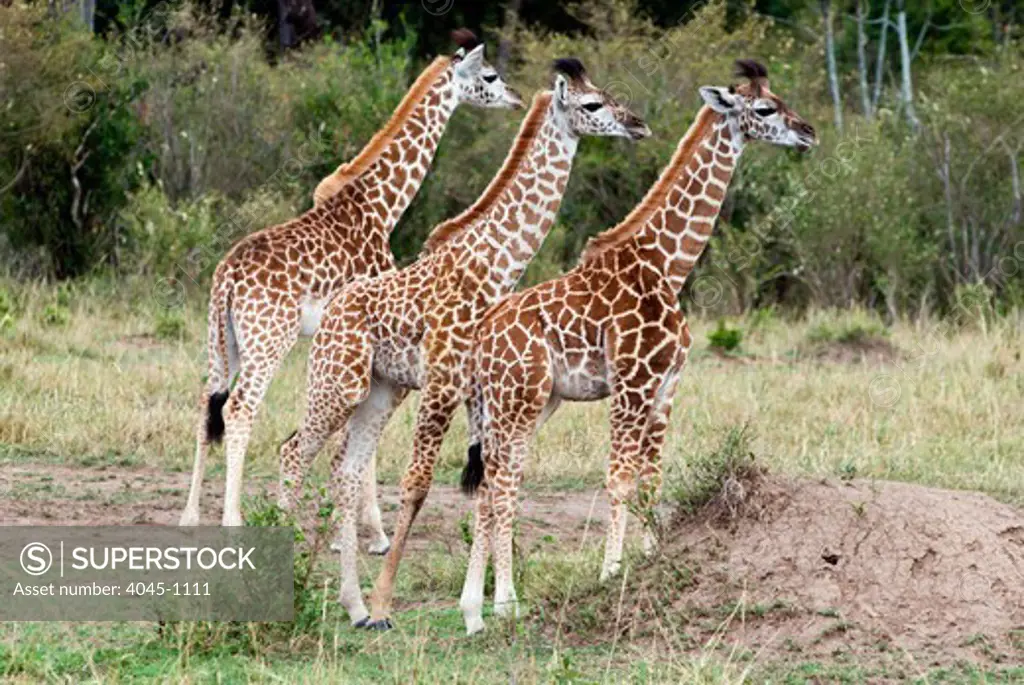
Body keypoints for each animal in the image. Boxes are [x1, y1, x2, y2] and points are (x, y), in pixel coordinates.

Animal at [176, 29, 524, 532]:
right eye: (490, 76)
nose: (517, 97)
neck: (381, 206)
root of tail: (229, 277)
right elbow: (362, 442)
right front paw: (374, 529)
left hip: (222, 338)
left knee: (208, 403)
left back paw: (188, 517)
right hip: (269, 340)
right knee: (240, 409)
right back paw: (234, 519)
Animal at [276, 61, 651, 626]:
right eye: (592, 105)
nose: (638, 124)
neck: (494, 262)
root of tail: (333, 312)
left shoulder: (479, 392)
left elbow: (488, 483)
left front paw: (488, 601)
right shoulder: (443, 382)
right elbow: (419, 483)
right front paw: (390, 603)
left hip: (380, 390)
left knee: (344, 469)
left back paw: (354, 605)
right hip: (337, 383)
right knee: (292, 452)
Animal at [460, 58, 819, 630]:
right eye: (764, 109)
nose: (808, 132)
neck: (668, 264)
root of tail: (479, 342)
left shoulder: (667, 385)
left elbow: (652, 476)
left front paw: (651, 558)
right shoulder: (632, 383)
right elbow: (620, 478)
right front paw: (611, 572)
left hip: (524, 403)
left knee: (492, 481)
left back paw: (478, 607)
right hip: (519, 400)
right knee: (503, 483)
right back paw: (501, 603)